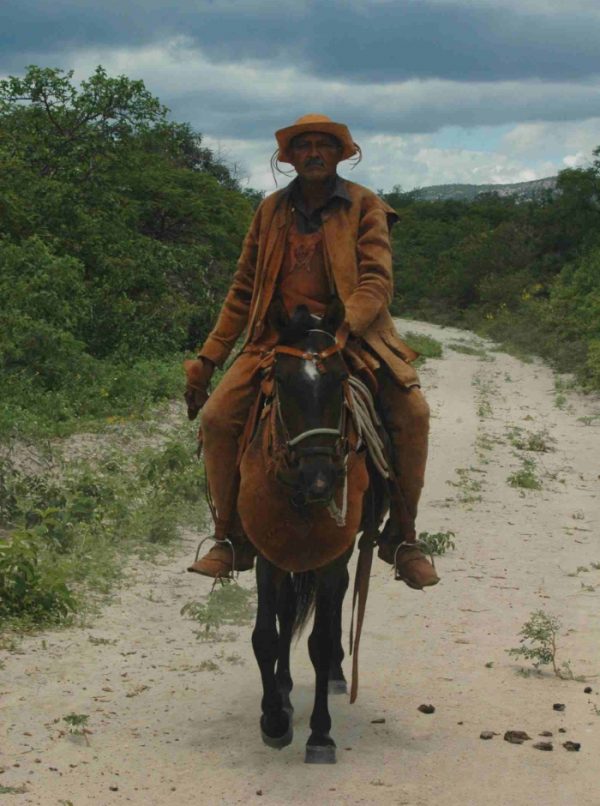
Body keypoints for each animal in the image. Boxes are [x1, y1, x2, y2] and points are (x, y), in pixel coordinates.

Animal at [237, 297, 388, 764]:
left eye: (339, 377)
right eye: (282, 380)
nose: (320, 480)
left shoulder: (332, 554)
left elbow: (319, 641)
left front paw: (320, 734)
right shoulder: (268, 553)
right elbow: (266, 634)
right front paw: (273, 718)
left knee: (336, 602)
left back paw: (338, 671)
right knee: (289, 610)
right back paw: (284, 690)